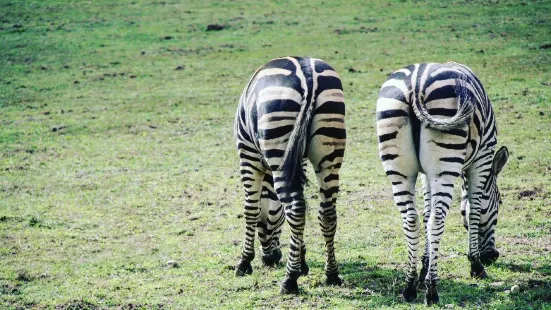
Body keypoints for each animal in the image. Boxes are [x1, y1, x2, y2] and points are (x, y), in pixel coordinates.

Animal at [235, 56, 348, 296]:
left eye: (264, 225)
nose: (270, 260)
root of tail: (307, 75)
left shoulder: (247, 155)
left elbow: (250, 209)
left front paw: (244, 262)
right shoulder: (298, 161)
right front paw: (302, 262)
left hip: (277, 137)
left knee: (295, 209)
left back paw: (289, 281)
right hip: (329, 148)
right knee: (326, 213)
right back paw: (332, 274)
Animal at [378, 61, 512, 304]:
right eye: (500, 204)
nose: (492, 257)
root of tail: (416, 82)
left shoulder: (425, 173)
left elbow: (426, 211)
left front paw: (424, 265)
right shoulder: (483, 156)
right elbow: (473, 209)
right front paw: (476, 265)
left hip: (399, 167)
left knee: (411, 219)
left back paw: (410, 287)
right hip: (446, 164)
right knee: (437, 221)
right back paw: (432, 291)